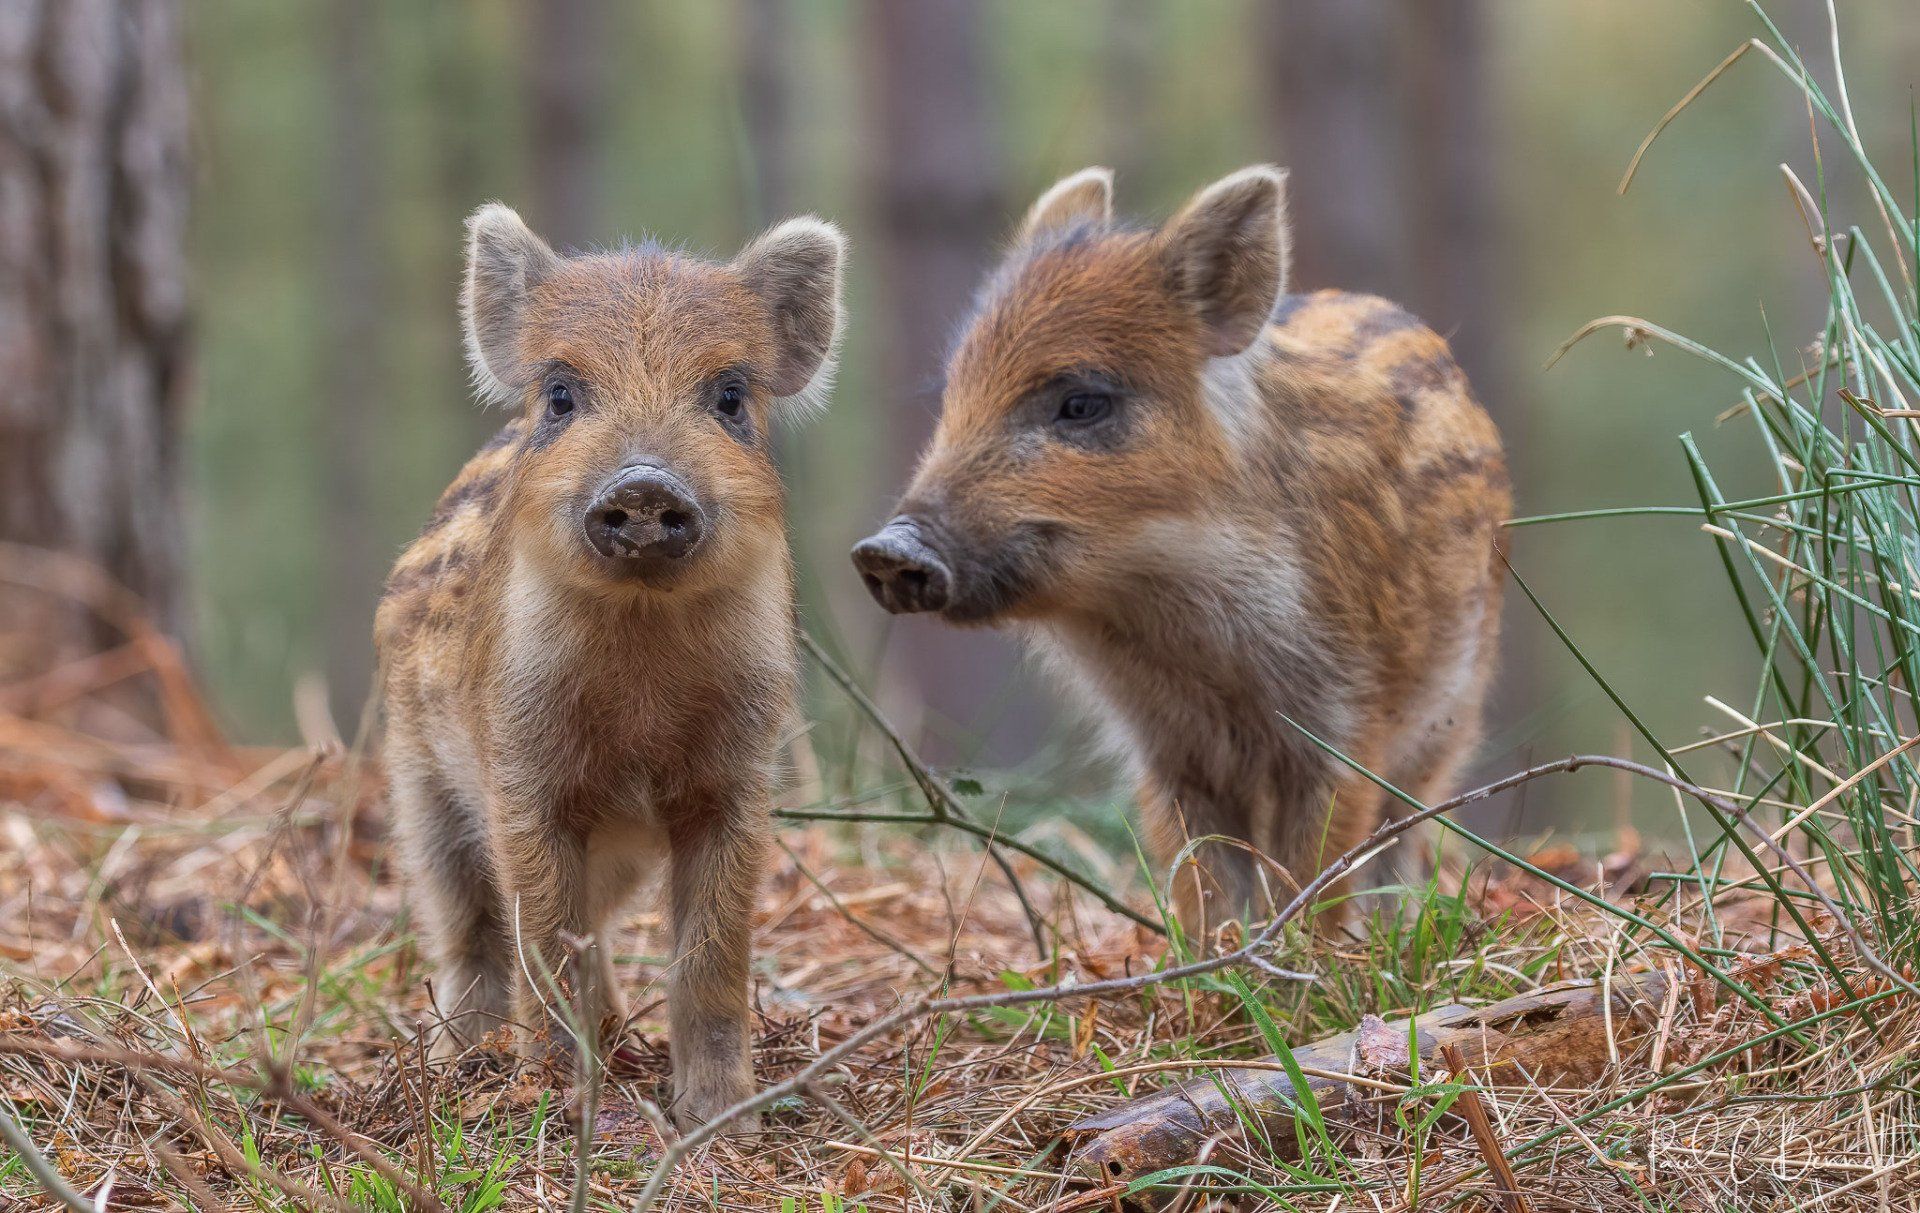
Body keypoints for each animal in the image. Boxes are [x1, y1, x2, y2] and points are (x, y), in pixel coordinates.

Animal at [376, 202, 845, 1128]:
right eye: (561, 393)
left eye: (730, 396)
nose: (644, 483)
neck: (642, 681)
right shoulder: (520, 774)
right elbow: (544, 938)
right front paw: (561, 1100)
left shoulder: (738, 778)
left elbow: (711, 953)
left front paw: (719, 1118)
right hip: (418, 782)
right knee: (469, 927)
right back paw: (465, 1063)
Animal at [851, 166, 1507, 933]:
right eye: (954, 393)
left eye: (1082, 403)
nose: (884, 549)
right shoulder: (1166, 752)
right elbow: (1203, 878)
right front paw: (1218, 959)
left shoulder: (1344, 719)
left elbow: (1315, 869)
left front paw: (1302, 957)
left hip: (1450, 715)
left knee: (1403, 834)